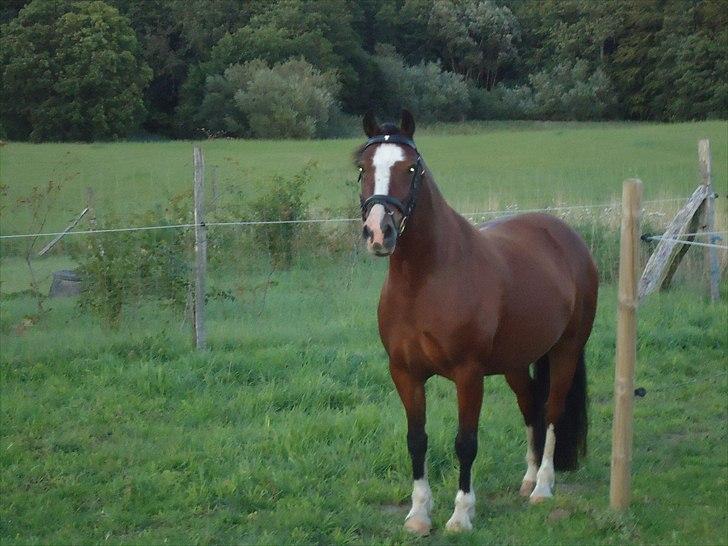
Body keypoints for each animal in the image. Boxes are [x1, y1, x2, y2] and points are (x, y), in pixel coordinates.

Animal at [356, 109, 600, 532]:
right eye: (362, 167)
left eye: (411, 167)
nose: (378, 232)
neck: (424, 280)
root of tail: (567, 237)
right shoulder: (404, 372)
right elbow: (416, 440)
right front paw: (418, 515)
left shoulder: (468, 374)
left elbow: (465, 442)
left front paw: (461, 514)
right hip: (516, 362)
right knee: (531, 407)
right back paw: (528, 480)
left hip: (566, 351)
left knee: (551, 411)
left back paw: (542, 488)